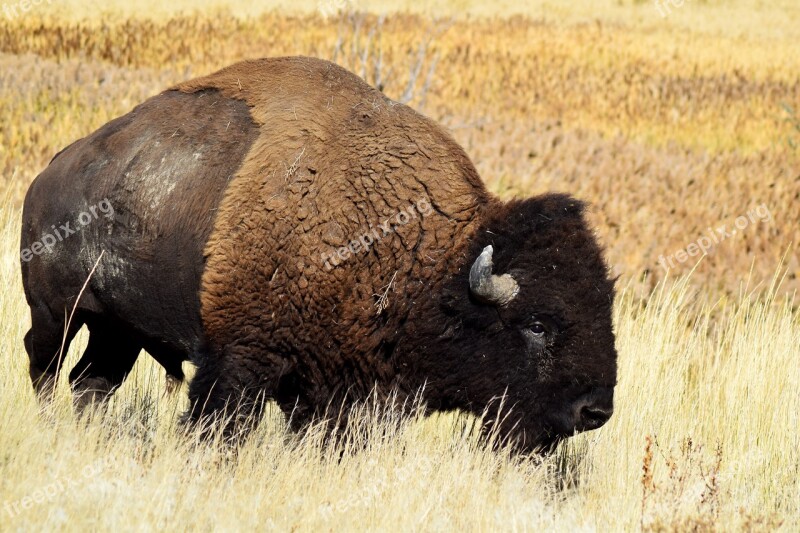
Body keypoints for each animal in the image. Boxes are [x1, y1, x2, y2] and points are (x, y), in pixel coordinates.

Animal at [20, 57, 620, 448]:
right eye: (538, 324)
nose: (595, 410)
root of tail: (50, 171)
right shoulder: (240, 360)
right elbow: (220, 424)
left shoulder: (338, 389)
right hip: (58, 313)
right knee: (44, 363)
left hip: (118, 333)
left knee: (91, 381)